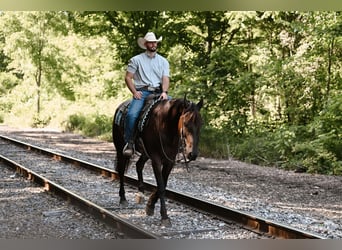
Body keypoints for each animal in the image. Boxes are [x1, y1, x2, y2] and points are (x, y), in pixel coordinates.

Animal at [112, 95, 203, 225]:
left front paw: (150, 205)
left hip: (145, 154)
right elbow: (160, 187)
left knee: (139, 165)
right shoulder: (156, 159)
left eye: (201, 123)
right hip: (120, 149)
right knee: (121, 170)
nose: (193, 154)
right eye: (186, 123)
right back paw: (123, 198)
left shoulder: (170, 161)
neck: (165, 126)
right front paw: (164, 216)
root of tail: (119, 107)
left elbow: (163, 184)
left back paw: (140, 193)